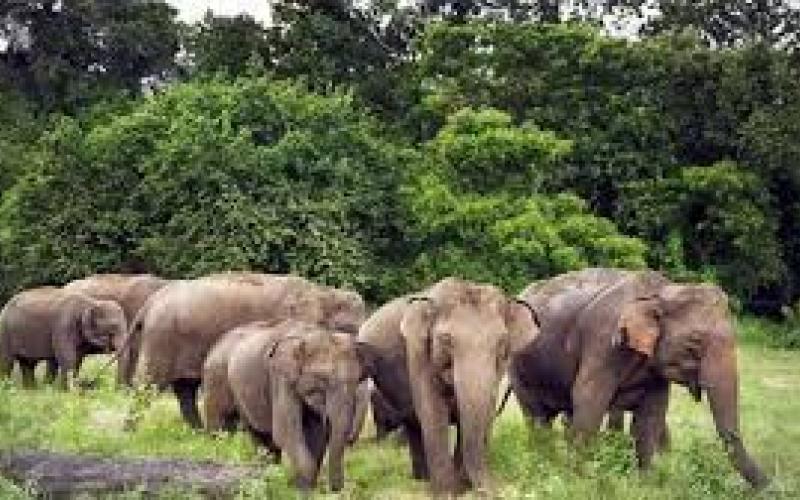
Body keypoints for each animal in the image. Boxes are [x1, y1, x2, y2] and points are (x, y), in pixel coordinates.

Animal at [131, 272, 366, 428]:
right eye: (349, 329)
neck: (323, 293)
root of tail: (151, 302)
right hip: (162, 338)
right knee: (148, 382)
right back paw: (132, 430)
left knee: (185, 388)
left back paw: (198, 432)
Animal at [224, 320, 369, 492]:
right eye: (323, 379)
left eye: (358, 380)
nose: (337, 490)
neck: (308, 335)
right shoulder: (280, 378)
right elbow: (285, 431)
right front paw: (302, 488)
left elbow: (316, 434)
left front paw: (306, 486)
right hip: (237, 392)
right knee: (258, 435)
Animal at [357, 277, 540, 493]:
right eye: (446, 339)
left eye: (502, 341)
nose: (491, 490)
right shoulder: (418, 352)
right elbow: (433, 411)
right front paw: (446, 492)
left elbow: (481, 410)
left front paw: (461, 487)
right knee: (414, 424)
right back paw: (423, 480)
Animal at [509, 268, 768, 488]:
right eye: (694, 342)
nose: (771, 486)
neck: (663, 291)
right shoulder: (604, 343)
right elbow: (588, 400)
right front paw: (579, 482)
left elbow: (651, 416)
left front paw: (646, 485)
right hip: (518, 366)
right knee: (537, 419)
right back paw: (541, 466)